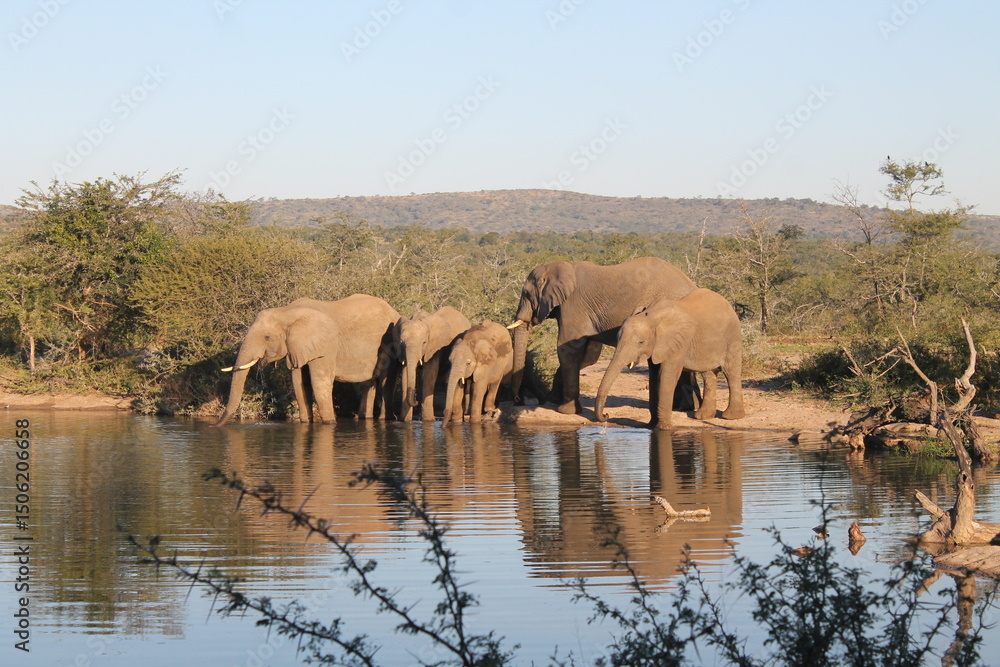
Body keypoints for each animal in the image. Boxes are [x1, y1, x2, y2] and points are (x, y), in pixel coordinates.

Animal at [215, 294, 400, 426]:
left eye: (267, 337)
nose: (214, 426)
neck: (286, 311)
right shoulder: (297, 347)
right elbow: (299, 383)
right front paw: (306, 422)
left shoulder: (325, 346)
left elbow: (319, 382)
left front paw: (330, 423)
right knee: (370, 383)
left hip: (390, 344)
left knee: (385, 382)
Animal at [508, 257, 697, 415]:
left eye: (526, 294)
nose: (517, 400)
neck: (560, 267)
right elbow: (589, 357)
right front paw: (554, 400)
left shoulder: (573, 306)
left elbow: (567, 349)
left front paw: (565, 410)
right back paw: (683, 408)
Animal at [593, 288, 746, 429]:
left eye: (641, 342)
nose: (606, 415)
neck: (651, 316)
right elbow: (654, 377)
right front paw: (650, 426)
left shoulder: (678, 341)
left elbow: (666, 376)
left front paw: (663, 428)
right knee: (708, 374)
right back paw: (702, 416)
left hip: (732, 336)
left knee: (730, 371)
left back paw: (731, 417)